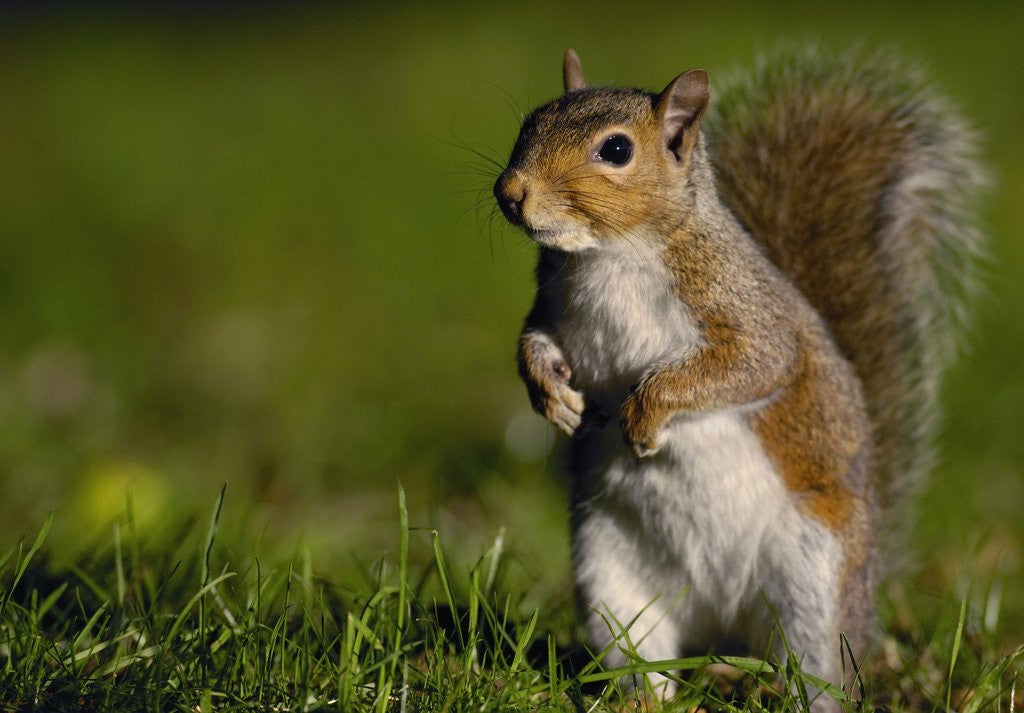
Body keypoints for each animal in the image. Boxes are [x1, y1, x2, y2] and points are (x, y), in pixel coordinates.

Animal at [493, 47, 984, 704]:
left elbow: (752, 365)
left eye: (616, 150)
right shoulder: (552, 308)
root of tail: (722, 625)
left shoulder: (746, 312)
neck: (608, 253)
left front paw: (645, 413)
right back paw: (643, 699)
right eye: (531, 122)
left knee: (818, 667)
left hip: (815, 576)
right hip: (610, 576)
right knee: (641, 655)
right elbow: (533, 344)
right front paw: (553, 397)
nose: (511, 191)